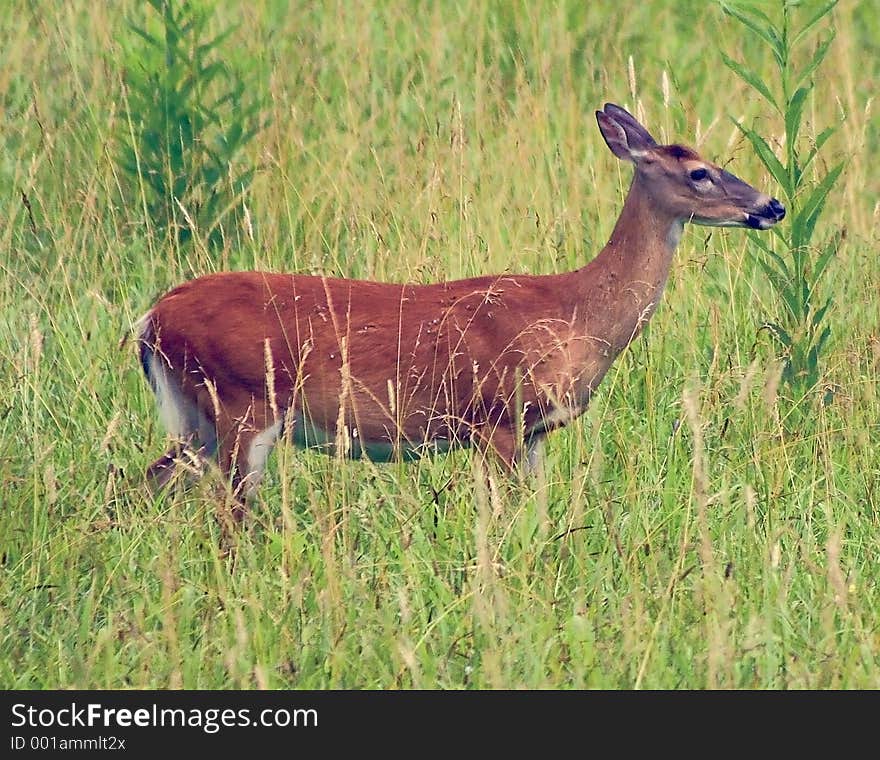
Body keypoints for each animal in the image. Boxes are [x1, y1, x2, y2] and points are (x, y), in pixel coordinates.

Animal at [136, 102, 784, 516]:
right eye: (699, 172)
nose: (772, 205)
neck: (576, 312)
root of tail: (151, 321)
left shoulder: (534, 433)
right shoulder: (495, 417)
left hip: (199, 419)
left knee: (144, 481)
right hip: (242, 403)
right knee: (227, 515)